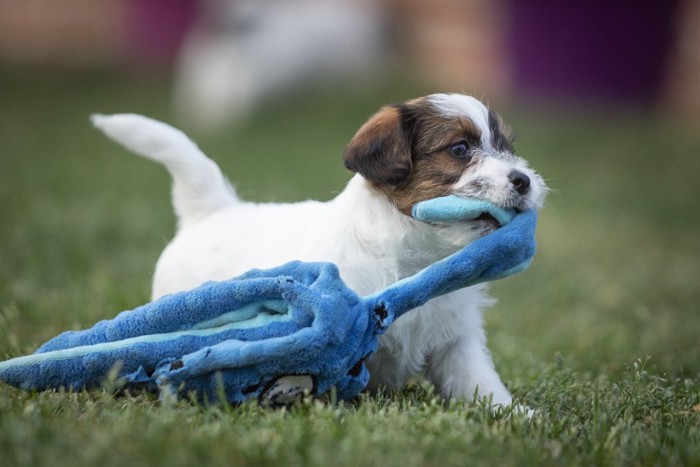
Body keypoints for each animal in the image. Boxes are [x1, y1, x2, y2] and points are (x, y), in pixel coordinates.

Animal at [91, 93, 548, 408]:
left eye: (507, 148)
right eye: (460, 149)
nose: (524, 180)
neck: (415, 262)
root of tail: (212, 209)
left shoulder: (456, 342)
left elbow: (481, 383)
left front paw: (519, 416)